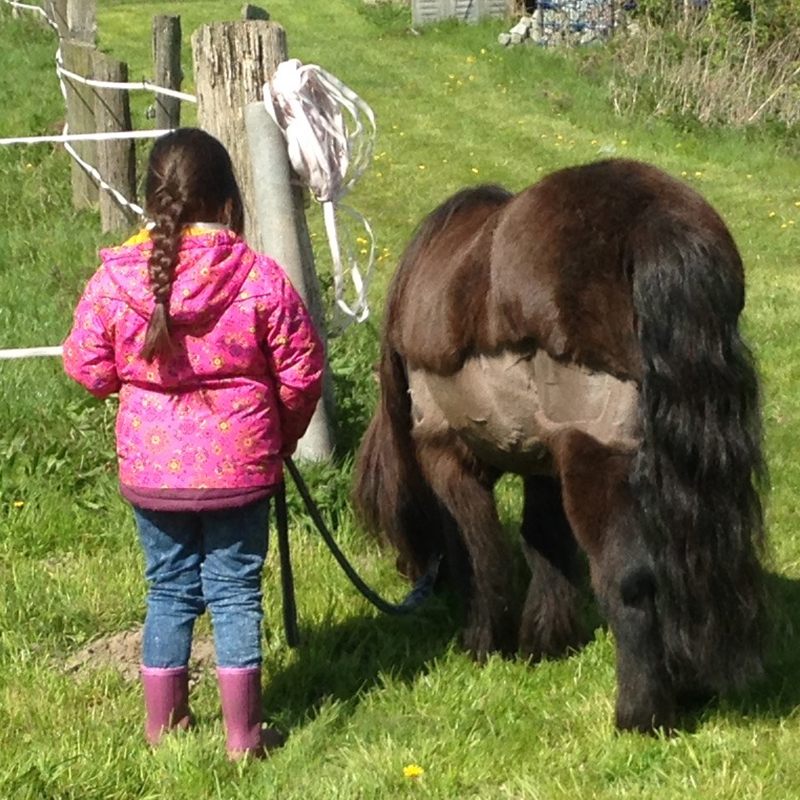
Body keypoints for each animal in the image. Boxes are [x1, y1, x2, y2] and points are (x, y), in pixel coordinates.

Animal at [353, 158, 767, 733]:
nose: (407, 573)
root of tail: (655, 221)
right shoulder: (543, 464)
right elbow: (543, 543)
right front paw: (546, 641)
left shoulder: (447, 457)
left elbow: (477, 550)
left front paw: (484, 642)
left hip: (597, 457)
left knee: (632, 579)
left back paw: (640, 714)